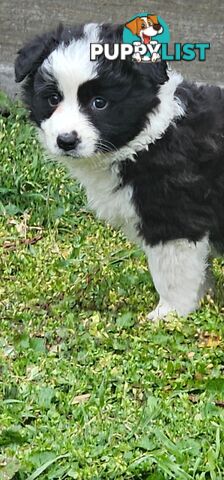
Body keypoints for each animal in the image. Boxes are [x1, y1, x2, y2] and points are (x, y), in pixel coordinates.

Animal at [14, 24, 224, 320]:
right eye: (53, 99)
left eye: (99, 103)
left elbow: (173, 275)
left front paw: (168, 315)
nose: (66, 140)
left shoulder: (174, 220)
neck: (148, 140)